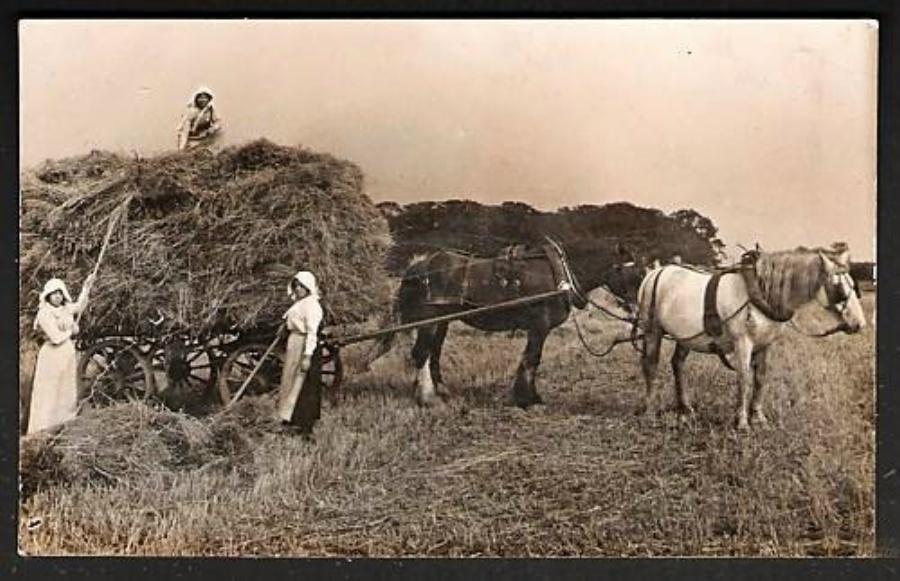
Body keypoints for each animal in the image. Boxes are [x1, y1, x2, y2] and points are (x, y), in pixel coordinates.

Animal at [376, 238, 644, 406]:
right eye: (633, 274)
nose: (638, 309)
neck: (559, 275)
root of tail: (417, 266)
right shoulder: (539, 325)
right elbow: (532, 359)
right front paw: (526, 398)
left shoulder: (539, 328)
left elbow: (530, 360)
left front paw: (529, 395)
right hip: (429, 320)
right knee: (421, 353)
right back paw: (426, 397)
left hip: (442, 321)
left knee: (434, 352)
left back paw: (440, 390)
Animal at [632, 242, 864, 428]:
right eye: (839, 288)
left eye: (854, 286)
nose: (859, 323)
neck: (760, 293)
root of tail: (655, 272)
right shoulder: (743, 343)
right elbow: (744, 378)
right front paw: (742, 421)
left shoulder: (765, 344)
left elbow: (760, 377)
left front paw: (758, 417)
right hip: (652, 330)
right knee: (651, 366)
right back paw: (649, 412)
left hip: (685, 336)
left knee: (677, 364)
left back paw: (685, 408)